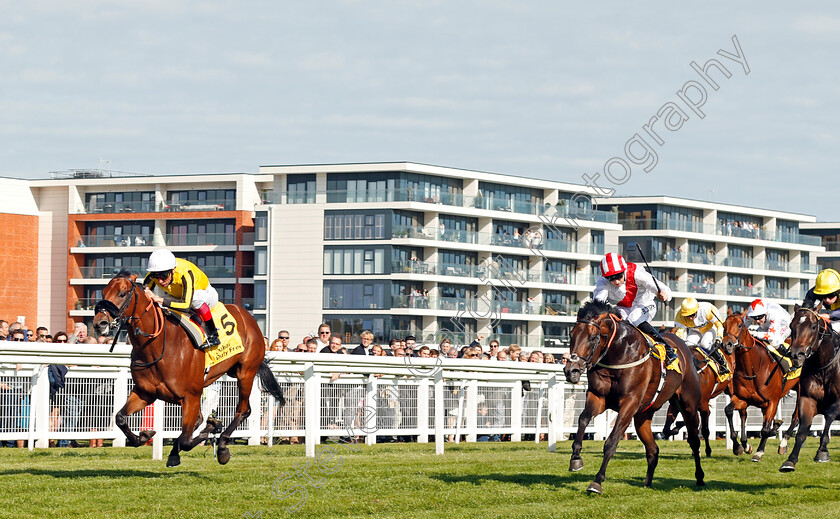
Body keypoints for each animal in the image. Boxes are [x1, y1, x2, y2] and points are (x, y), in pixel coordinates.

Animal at [93, 270, 286, 470]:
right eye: (103, 293)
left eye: (122, 293)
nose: (100, 323)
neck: (158, 346)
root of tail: (248, 317)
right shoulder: (146, 393)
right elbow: (120, 418)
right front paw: (145, 435)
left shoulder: (191, 395)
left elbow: (187, 440)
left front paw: (211, 431)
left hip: (245, 372)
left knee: (243, 410)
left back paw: (222, 447)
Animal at [560, 300, 704, 496]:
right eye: (571, 335)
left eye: (592, 337)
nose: (571, 371)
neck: (619, 354)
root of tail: (685, 348)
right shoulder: (598, 397)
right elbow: (582, 419)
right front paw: (575, 458)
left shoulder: (630, 402)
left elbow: (612, 441)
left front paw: (597, 481)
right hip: (642, 416)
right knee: (653, 450)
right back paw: (647, 483)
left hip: (688, 405)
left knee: (694, 441)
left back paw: (700, 477)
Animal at [720, 312, 796, 464]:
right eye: (724, 325)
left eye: (740, 325)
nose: (727, 345)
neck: (752, 368)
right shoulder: (742, 399)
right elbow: (728, 410)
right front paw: (738, 446)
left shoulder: (773, 400)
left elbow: (765, 429)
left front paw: (758, 452)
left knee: (796, 417)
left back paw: (782, 443)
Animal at [776, 302, 840, 474]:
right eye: (791, 326)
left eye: (813, 326)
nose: (796, 355)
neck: (824, 366)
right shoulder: (807, 398)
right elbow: (802, 429)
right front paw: (790, 460)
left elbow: (829, 415)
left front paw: (822, 451)